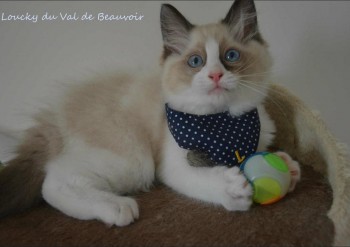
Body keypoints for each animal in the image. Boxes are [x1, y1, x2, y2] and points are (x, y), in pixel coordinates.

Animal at [0, 0, 300, 228]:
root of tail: (54, 115)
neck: (225, 123)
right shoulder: (173, 165)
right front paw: (233, 188)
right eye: (196, 62)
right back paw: (118, 207)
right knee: (53, 181)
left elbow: (266, 153)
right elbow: (206, 180)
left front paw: (289, 165)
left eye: (232, 56)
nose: (215, 75)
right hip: (134, 159)